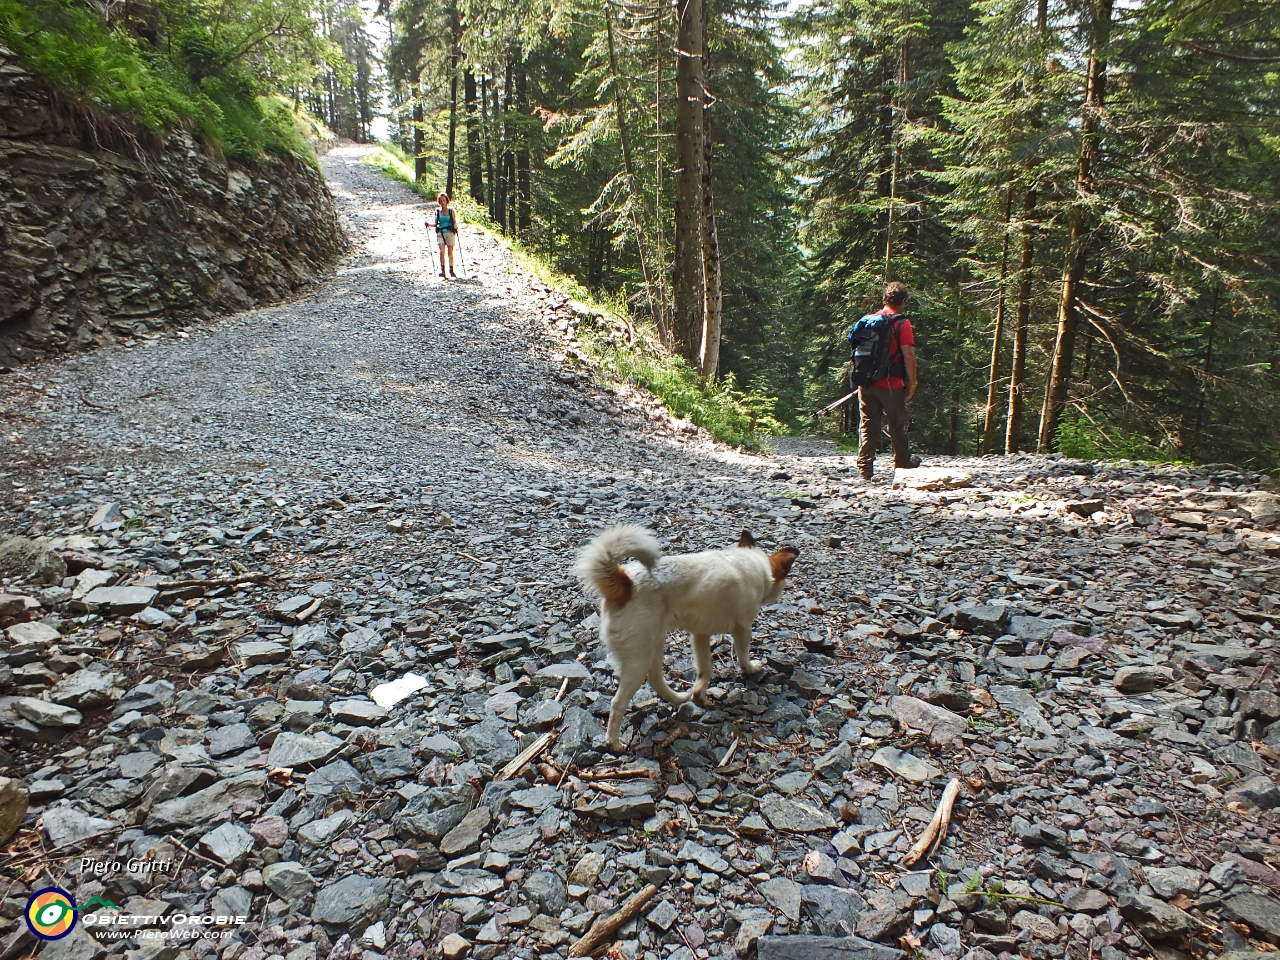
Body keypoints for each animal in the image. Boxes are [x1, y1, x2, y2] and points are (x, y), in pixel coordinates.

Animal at [573, 527, 793, 752]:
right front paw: (750, 669)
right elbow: (742, 656)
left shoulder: (700, 635)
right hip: (640, 658)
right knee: (618, 703)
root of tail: (625, 583)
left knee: (655, 680)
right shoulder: (743, 629)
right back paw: (614, 743)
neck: (753, 562)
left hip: (654, 644)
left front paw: (699, 695)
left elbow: (705, 669)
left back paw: (678, 698)